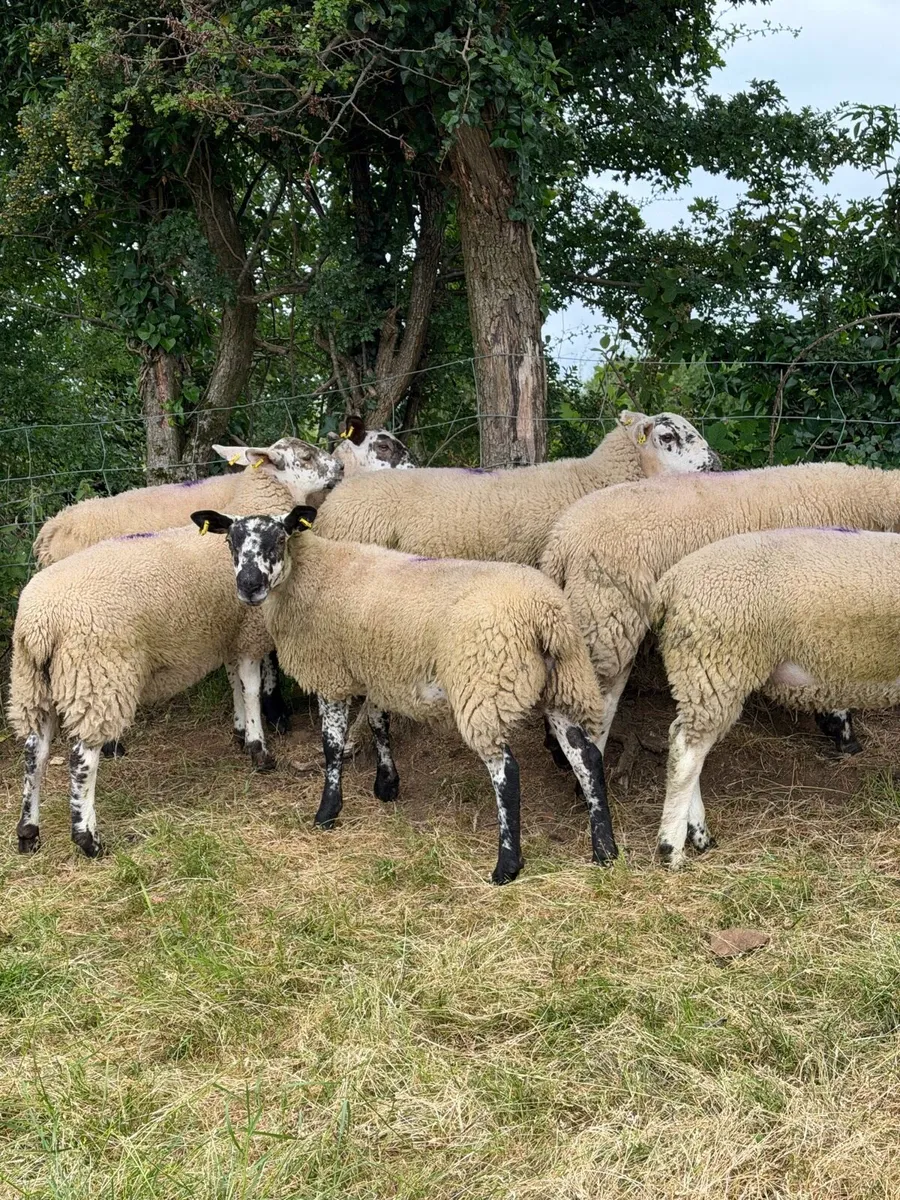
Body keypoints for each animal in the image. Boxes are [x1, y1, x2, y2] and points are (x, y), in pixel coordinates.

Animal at [8, 440, 342, 857]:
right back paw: (88, 838)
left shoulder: (226, 631)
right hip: (97, 675)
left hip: (34, 683)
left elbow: (234, 682)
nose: (341, 467)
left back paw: (28, 831)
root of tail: (39, 623)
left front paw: (239, 731)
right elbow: (251, 687)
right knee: (80, 759)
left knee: (34, 753)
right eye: (307, 456)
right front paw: (258, 748)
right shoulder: (248, 631)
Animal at [190, 503, 620, 884]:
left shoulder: (331, 672)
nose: (249, 586)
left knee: (507, 772)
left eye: (279, 538)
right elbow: (379, 724)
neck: (310, 574)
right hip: (563, 683)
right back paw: (604, 850)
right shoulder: (378, 668)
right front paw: (386, 785)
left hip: (485, 688)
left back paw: (507, 867)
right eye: (230, 540)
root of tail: (544, 613)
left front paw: (327, 812)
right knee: (586, 758)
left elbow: (332, 747)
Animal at [653, 527, 900, 867]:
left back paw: (700, 836)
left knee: (686, 744)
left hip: (701, 671)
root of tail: (673, 580)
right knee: (686, 753)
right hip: (715, 664)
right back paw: (672, 848)